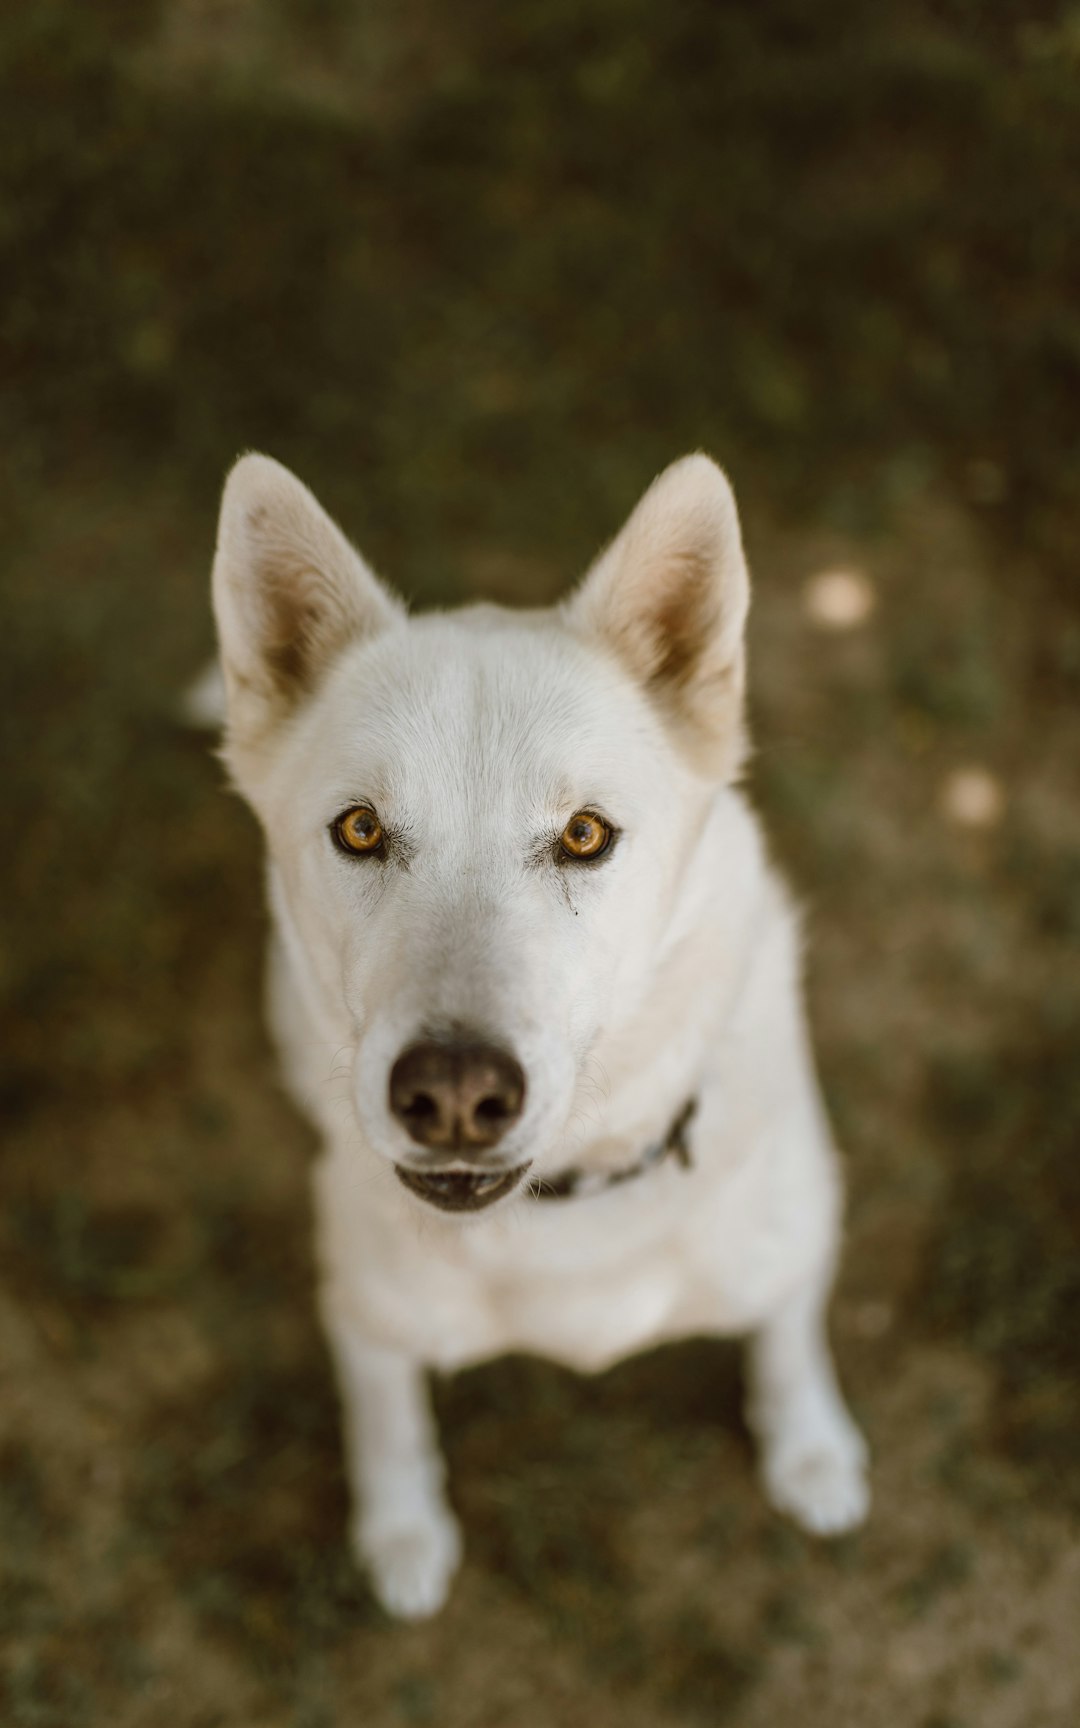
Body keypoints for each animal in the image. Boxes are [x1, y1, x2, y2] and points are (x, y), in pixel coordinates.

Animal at [203, 445, 867, 1617]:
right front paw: (402, 1533)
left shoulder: (797, 1244)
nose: (456, 1094)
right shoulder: (364, 1320)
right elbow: (388, 1424)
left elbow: (788, 1341)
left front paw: (811, 1452)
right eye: (359, 829)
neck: (568, 1212)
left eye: (585, 835)